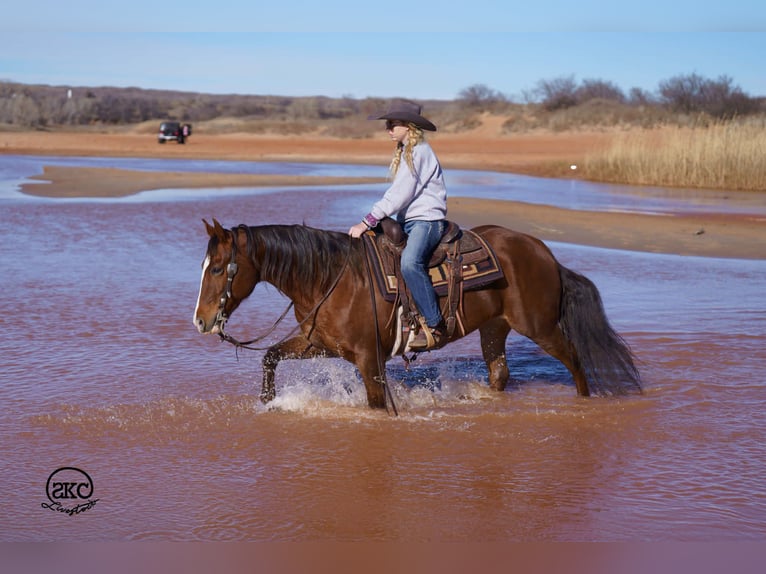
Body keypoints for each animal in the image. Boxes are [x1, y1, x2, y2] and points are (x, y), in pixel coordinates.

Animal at [193, 218, 641, 410]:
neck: (331, 278)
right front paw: (268, 403)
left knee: (576, 360)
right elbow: (270, 357)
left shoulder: (369, 359)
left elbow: (376, 404)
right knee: (500, 373)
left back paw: (585, 403)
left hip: (541, 326)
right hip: (494, 328)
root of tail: (544, 253)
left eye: (218, 269)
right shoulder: (318, 343)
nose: (200, 320)